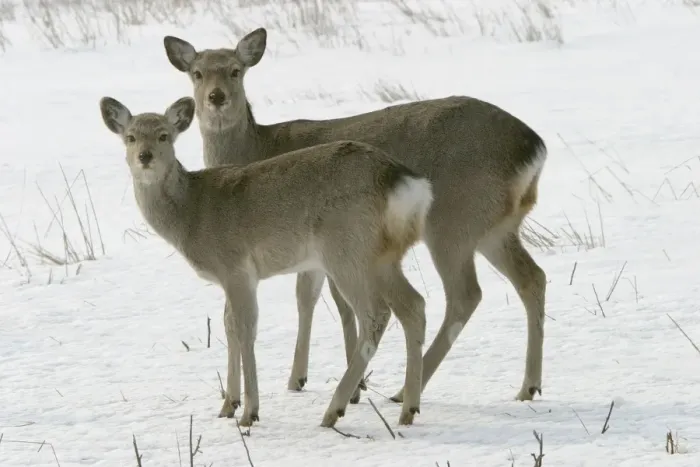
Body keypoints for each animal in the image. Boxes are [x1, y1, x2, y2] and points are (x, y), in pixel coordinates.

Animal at [98, 95, 433, 428]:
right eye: (130, 137)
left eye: (164, 135)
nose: (144, 156)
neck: (192, 213)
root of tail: (399, 180)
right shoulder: (229, 277)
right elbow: (228, 325)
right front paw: (227, 405)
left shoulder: (236, 267)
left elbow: (245, 328)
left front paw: (249, 412)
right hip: (383, 256)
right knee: (414, 305)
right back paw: (408, 409)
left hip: (348, 249)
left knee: (376, 313)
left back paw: (334, 410)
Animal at [163, 27, 548, 408]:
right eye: (196, 72)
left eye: (235, 70)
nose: (216, 98)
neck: (257, 148)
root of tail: (534, 147)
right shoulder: (311, 251)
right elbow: (307, 298)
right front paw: (299, 379)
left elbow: (337, 305)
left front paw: (354, 386)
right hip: (496, 227)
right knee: (532, 277)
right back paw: (528, 386)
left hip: (453, 220)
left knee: (464, 294)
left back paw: (406, 391)